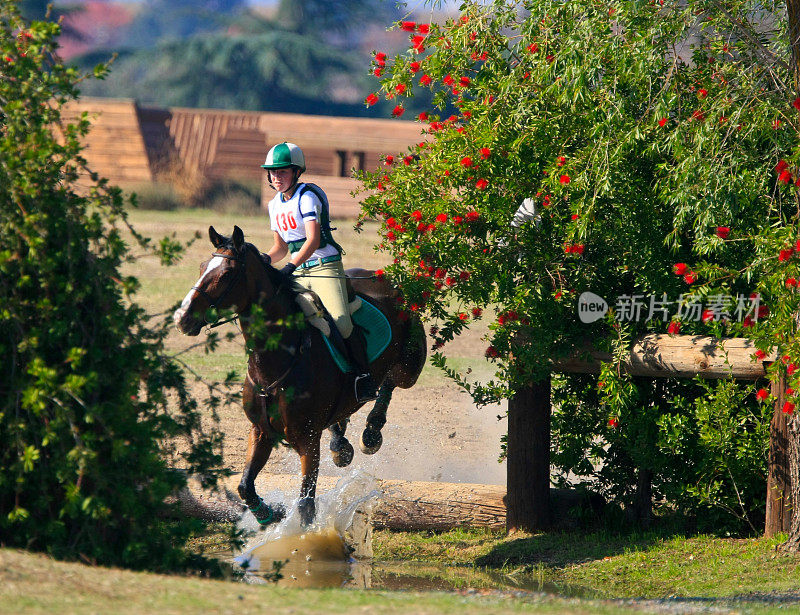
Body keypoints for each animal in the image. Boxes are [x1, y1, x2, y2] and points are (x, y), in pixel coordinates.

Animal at [173, 229, 428, 528]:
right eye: (202, 267)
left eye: (226, 274)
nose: (182, 318)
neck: (274, 362)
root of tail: (387, 281)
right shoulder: (260, 431)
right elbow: (245, 486)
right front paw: (270, 514)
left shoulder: (307, 440)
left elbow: (306, 505)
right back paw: (340, 443)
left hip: (409, 367)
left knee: (389, 382)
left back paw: (371, 433)